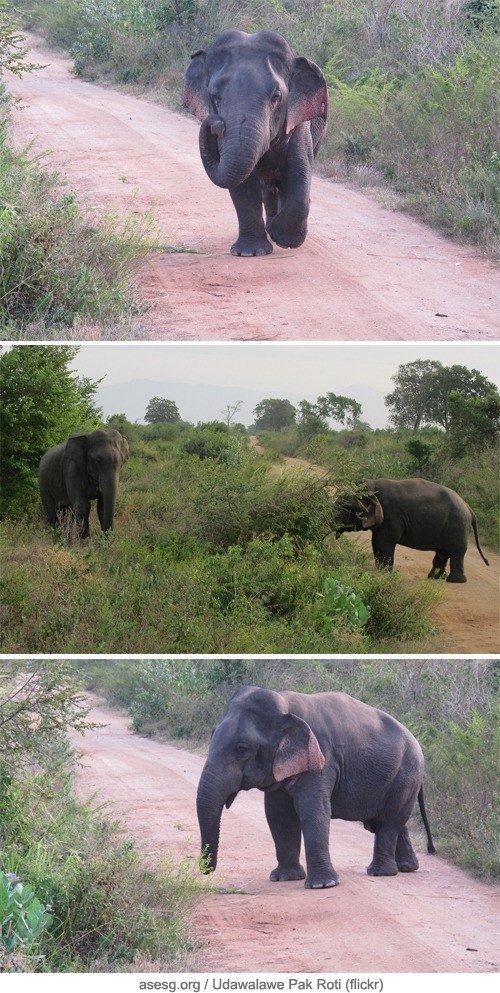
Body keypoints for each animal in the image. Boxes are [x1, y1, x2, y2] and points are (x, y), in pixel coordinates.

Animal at [184, 30, 328, 256]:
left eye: (276, 96)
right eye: (214, 95)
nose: (216, 123)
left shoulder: (298, 126)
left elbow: (300, 173)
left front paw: (285, 240)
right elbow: (241, 185)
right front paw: (249, 252)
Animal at [195, 684, 434, 888]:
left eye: (242, 748)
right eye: (212, 734)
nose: (206, 870)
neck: (285, 705)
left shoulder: (322, 758)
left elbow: (313, 810)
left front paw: (322, 885)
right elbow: (278, 814)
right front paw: (284, 878)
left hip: (407, 774)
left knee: (389, 820)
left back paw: (380, 872)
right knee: (389, 821)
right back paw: (406, 867)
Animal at [334, 474, 490, 580]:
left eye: (345, 508)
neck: (373, 487)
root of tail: (470, 509)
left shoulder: (392, 516)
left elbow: (384, 542)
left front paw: (384, 575)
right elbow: (376, 542)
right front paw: (380, 572)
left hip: (457, 527)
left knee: (456, 552)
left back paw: (453, 581)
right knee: (443, 552)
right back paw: (434, 578)